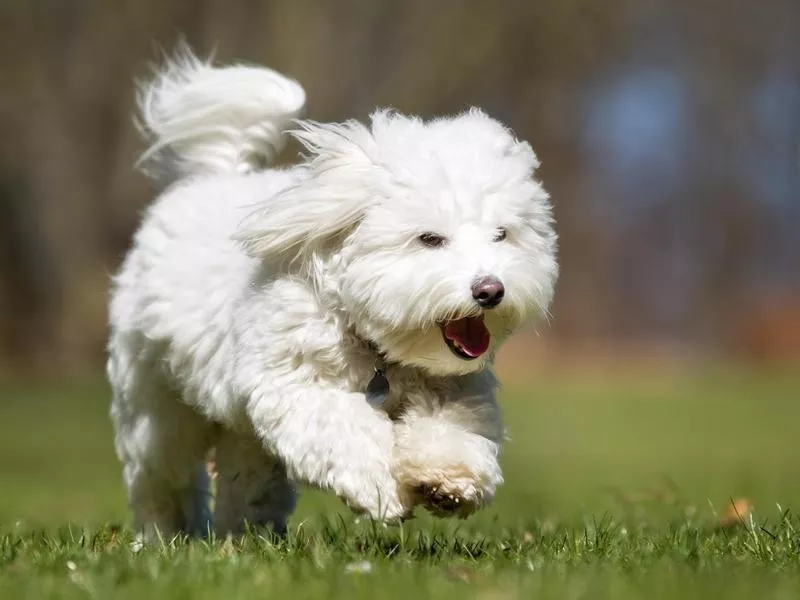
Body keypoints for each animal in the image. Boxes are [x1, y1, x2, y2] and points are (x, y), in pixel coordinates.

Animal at [104, 49, 556, 540]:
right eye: (429, 239)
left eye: (502, 235)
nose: (490, 289)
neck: (375, 346)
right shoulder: (295, 384)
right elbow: (346, 431)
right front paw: (383, 488)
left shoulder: (453, 388)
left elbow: (451, 428)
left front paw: (448, 479)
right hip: (156, 405)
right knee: (162, 475)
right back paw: (163, 536)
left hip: (241, 433)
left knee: (247, 474)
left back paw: (245, 534)